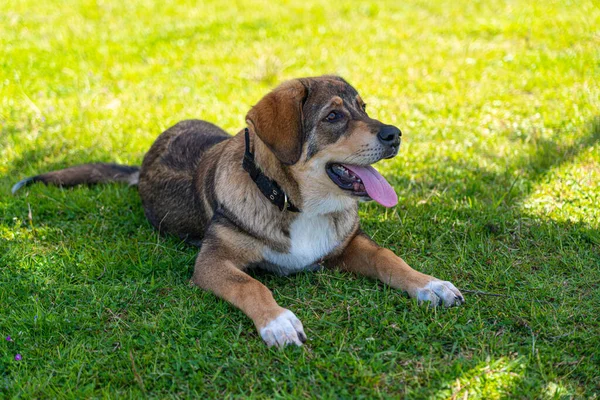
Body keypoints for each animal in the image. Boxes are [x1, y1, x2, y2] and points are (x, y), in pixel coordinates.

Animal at [12, 76, 464, 348]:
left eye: (364, 108)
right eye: (334, 116)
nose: (395, 134)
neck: (292, 203)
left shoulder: (349, 244)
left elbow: (389, 258)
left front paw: (430, 285)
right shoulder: (212, 261)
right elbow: (251, 286)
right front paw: (278, 322)